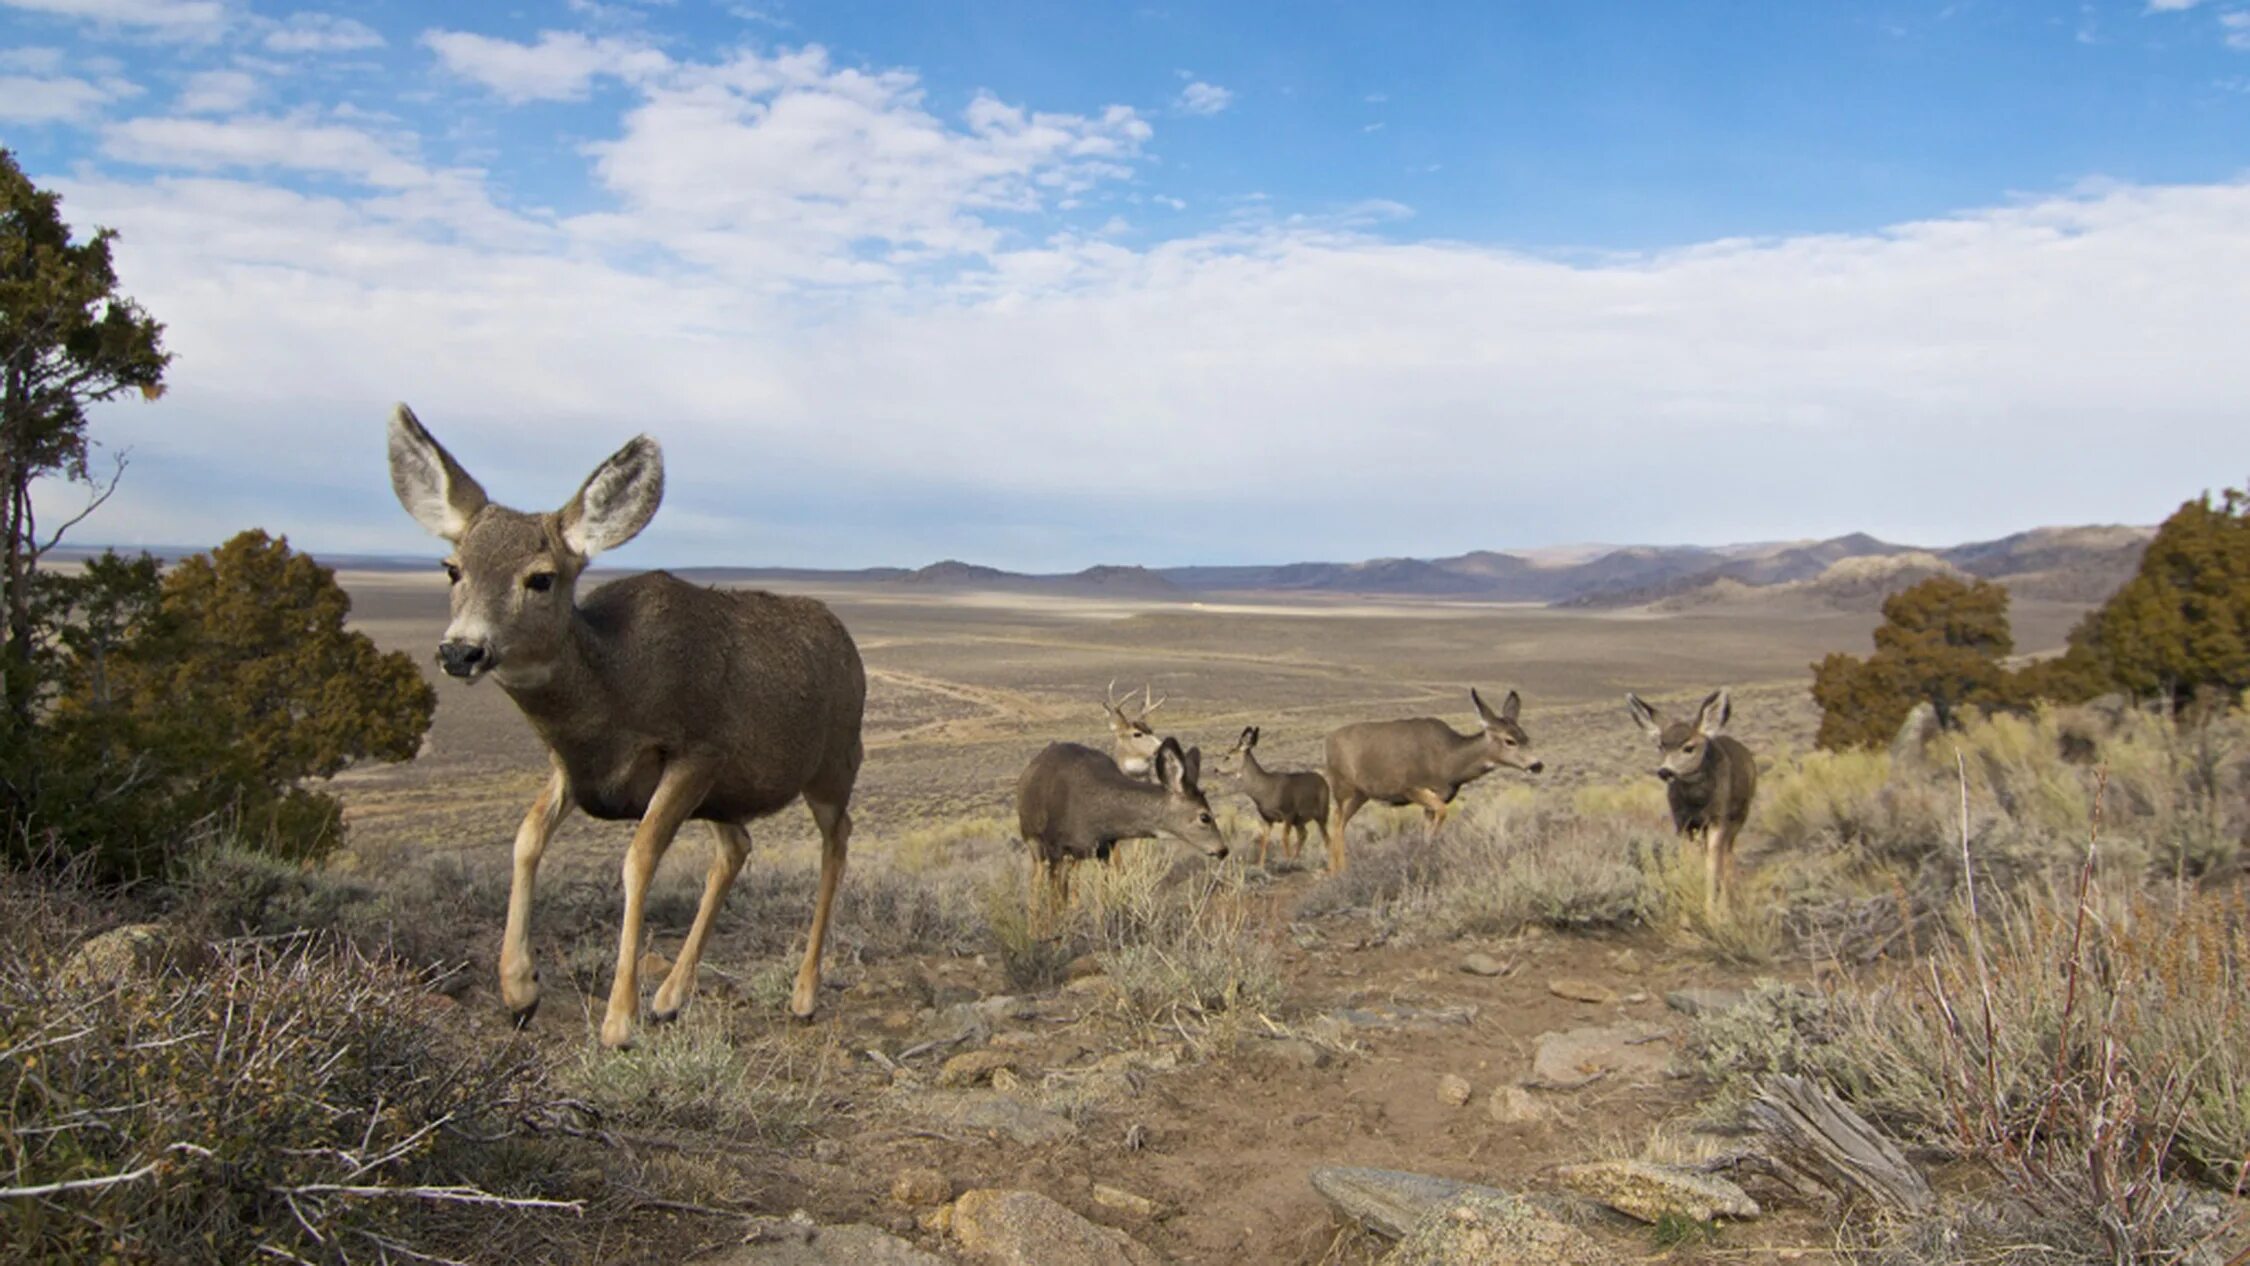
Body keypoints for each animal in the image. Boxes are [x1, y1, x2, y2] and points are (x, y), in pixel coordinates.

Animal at [387, 407, 859, 1052]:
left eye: (541, 578)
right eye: (452, 568)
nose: (461, 650)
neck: (614, 684)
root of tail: (848, 641)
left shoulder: (697, 751)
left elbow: (638, 859)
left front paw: (618, 1020)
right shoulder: (573, 767)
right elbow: (527, 837)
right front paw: (520, 989)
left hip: (834, 763)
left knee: (835, 842)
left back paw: (803, 994)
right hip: (729, 797)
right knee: (736, 848)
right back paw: (671, 998)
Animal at [1021, 737, 1233, 908]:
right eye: (1204, 817)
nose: (1223, 849)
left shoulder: (1104, 849)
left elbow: (1101, 901)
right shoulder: (1054, 847)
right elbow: (1053, 905)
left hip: (1076, 857)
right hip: (1033, 842)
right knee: (1035, 886)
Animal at [1224, 728, 1323, 867]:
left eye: (1228, 756)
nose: (1215, 769)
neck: (1265, 788)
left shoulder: (1288, 814)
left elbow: (1284, 837)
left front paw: (1287, 860)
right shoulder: (1268, 819)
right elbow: (1265, 840)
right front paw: (1260, 864)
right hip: (1301, 820)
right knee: (1304, 834)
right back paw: (1297, 857)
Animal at [1314, 688, 1548, 876]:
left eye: (1526, 737)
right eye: (1510, 741)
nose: (1537, 765)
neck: (1449, 762)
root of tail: (1326, 741)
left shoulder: (1435, 797)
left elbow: (1428, 825)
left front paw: (1425, 856)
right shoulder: (1410, 787)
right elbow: (1442, 813)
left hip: (1361, 793)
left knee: (1341, 821)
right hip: (1342, 786)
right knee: (1337, 820)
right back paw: (1338, 869)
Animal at [1638, 692, 1755, 912]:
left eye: (1689, 747)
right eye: (1661, 746)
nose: (1664, 771)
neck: (1697, 802)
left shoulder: (1718, 818)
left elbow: (1712, 862)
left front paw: (1713, 911)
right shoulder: (1683, 823)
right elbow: (1689, 861)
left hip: (1739, 817)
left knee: (1727, 853)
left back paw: (1728, 900)